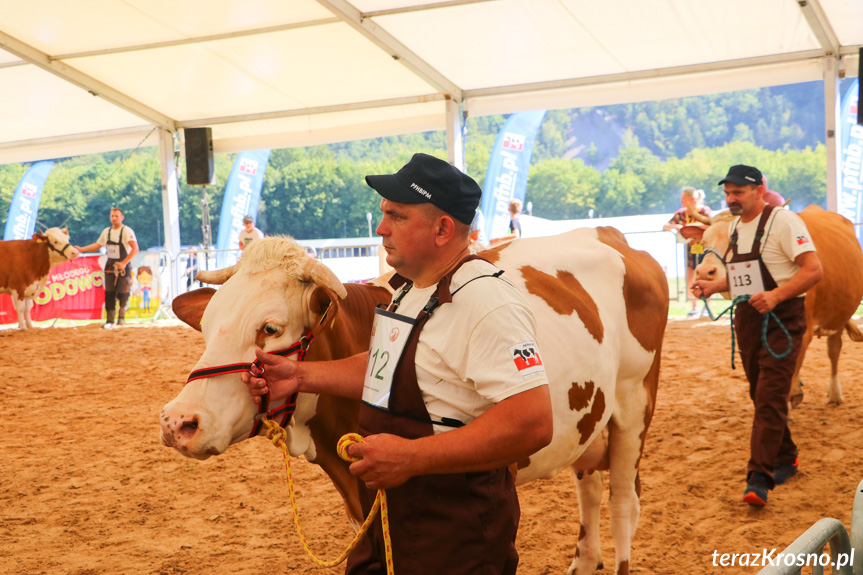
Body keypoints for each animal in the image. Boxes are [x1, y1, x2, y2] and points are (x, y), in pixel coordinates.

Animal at [162, 231, 672, 575]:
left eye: (270, 328)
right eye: (206, 324)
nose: (178, 421)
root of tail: (611, 236)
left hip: (634, 404)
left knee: (623, 504)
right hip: (589, 418)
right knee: (589, 485)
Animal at [680, 206, 863, 404]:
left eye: (732, 240)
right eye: (704, 242)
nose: (704, 272)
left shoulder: (803, 329)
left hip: (839, 314)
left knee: (834, 349)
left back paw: (835, 393)